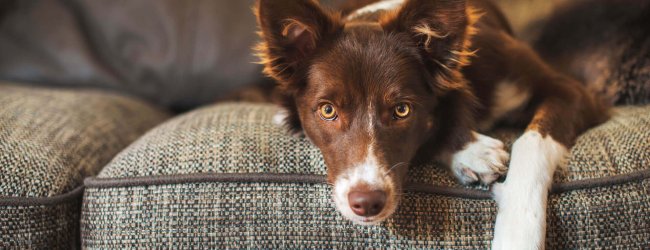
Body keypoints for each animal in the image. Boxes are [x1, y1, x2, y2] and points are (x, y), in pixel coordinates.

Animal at [252, 0, 604, 248]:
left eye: (402, 110)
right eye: (327, 111)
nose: (367, 204)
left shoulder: (572, 91)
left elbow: (530, 143)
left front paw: (519, 233)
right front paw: (471, 152)